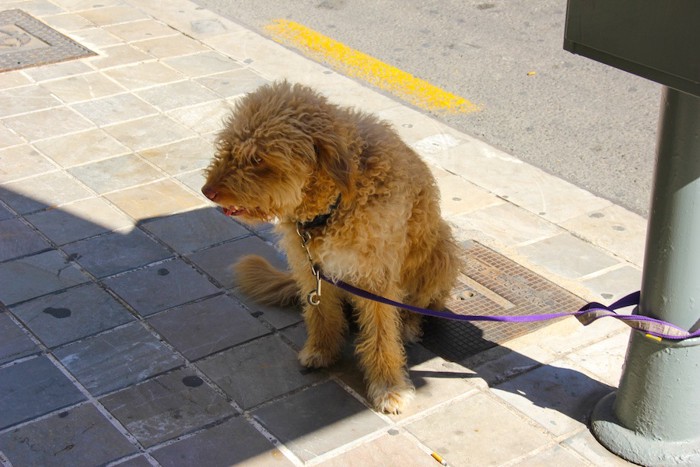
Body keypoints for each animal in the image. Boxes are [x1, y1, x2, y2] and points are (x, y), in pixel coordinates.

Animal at [202, 81, 462, 414]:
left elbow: (381, 335)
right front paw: (321, 350)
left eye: (258, 159)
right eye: (229, 147)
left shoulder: (376, 279)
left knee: (426, 303)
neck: (333, 206)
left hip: (442, 252)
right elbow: (321, 313)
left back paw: (408, 323)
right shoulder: (310, 270)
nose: (207, 191)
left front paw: (389, 387)